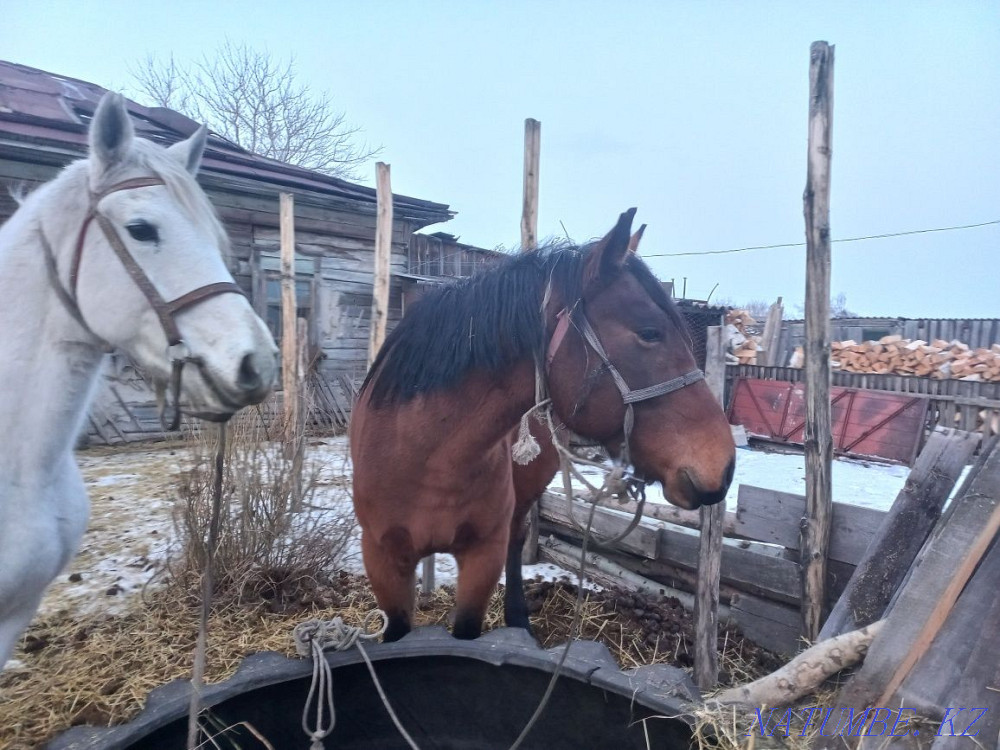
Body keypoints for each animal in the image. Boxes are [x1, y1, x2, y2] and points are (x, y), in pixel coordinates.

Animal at [351, 209, 735, 642]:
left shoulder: (483, 557)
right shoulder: (382, 562)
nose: (724, 466)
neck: (424, 456)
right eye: (649, 333)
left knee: (518, 541)